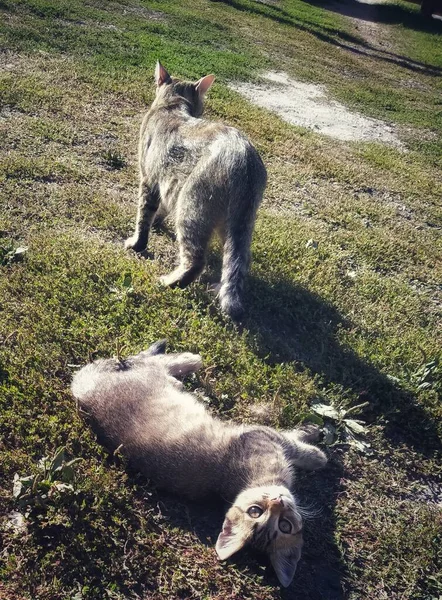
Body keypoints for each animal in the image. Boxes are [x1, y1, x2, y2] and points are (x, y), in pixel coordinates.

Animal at [72, 340, 326, 588]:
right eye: (255, 511)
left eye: (284, 525)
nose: (277, 501)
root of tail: (79, 387)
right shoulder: (263, 435)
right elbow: (294, 443)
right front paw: (316, 451)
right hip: (147, 372)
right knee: (149, 359)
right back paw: (190, 360)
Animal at [124, 62, 266, 322]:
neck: (172, 106)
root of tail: (245, 159)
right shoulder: (166, 184)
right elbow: (159, 210)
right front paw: (157, 223)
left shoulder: (149, 180)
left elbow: (143, 217)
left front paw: (137, 243)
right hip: (240, 224)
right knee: (237, 263)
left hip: (191, 207)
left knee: (196, 261)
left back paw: (169, 282)